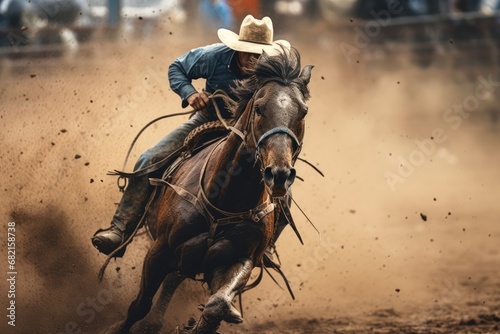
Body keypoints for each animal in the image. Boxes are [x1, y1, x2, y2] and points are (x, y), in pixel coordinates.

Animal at [108, 46, 312, 334]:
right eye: (259, 108)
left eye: (303, 112)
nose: (279, 174)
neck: (226, 196)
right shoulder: (159, 250)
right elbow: (139, 304)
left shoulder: (241, 259)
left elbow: (217, 306)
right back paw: (111, 237)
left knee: (174, 282)